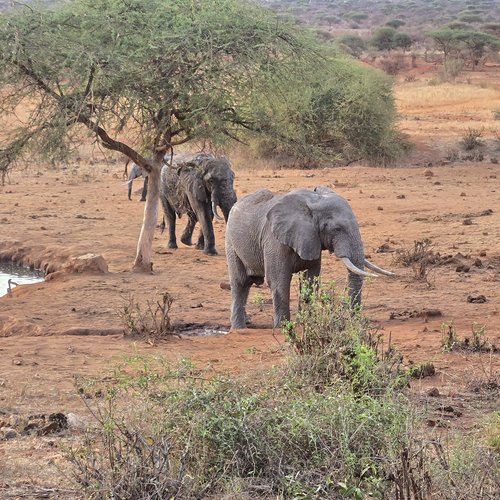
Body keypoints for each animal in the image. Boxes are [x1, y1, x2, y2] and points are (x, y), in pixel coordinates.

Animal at [226, 186, 394, 330]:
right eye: (336, 229)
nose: (354, 322)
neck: (313, 202)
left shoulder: (312, 239)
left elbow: (311, 280)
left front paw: (307, 322)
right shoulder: (274, 241)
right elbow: (279, 281)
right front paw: (283, 327)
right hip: (231, 243)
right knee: (240, 282)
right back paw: (239, 328)